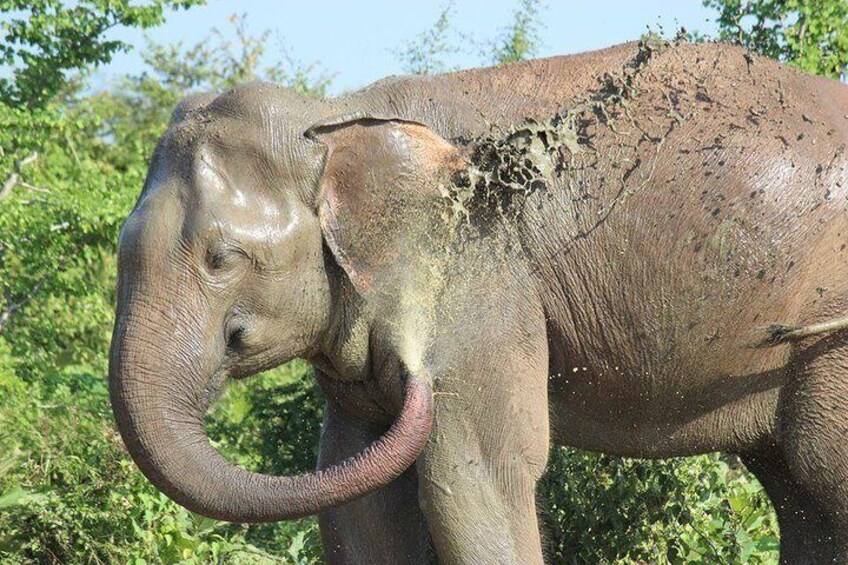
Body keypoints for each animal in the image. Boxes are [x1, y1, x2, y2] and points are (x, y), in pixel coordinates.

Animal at [109, 37, 848, 560]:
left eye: (221, 258)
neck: (338, 119)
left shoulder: (481, 277)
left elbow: (474, 480)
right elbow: (361, 499)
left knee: (821, 469)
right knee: (798, 487)